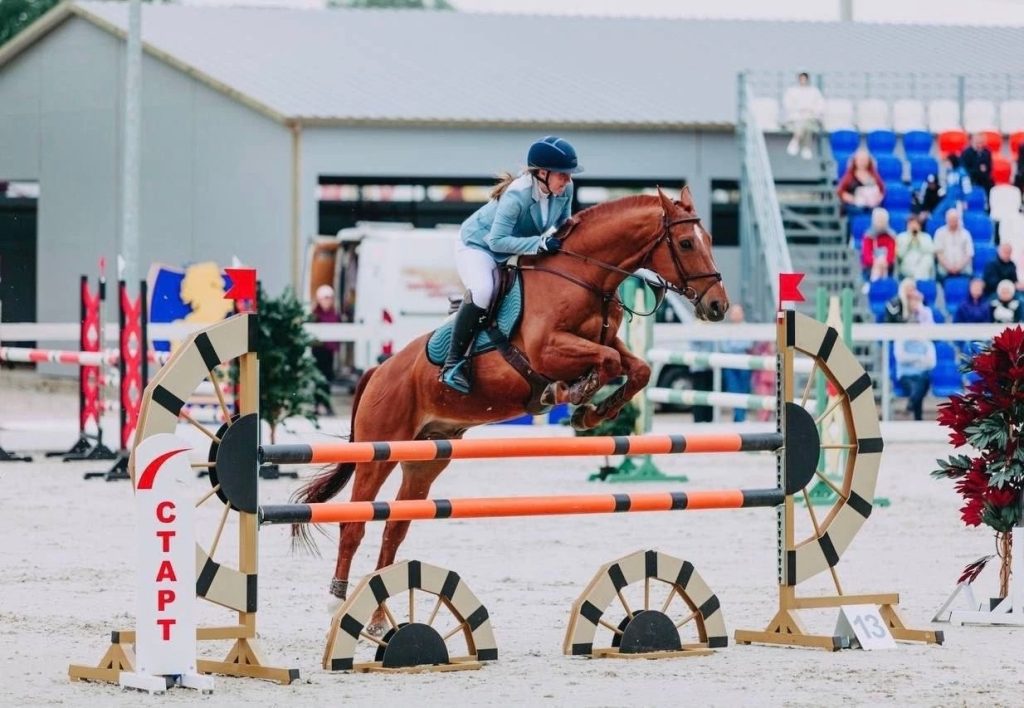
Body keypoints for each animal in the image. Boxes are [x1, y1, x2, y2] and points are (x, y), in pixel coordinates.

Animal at [293, 185, 730, 630]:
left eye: (710, 240)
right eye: (686, 243)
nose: (718, 307)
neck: (586, 278)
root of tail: (378, 372)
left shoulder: (609, 344)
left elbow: (635, 368)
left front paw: (589, 412)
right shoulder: (548, 349)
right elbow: (605, 362)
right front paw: (570, 394)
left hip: (425, 459)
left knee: (393, 529)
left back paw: (380, 616)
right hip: (378, 452)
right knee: (354, 523)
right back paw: (337, 603)